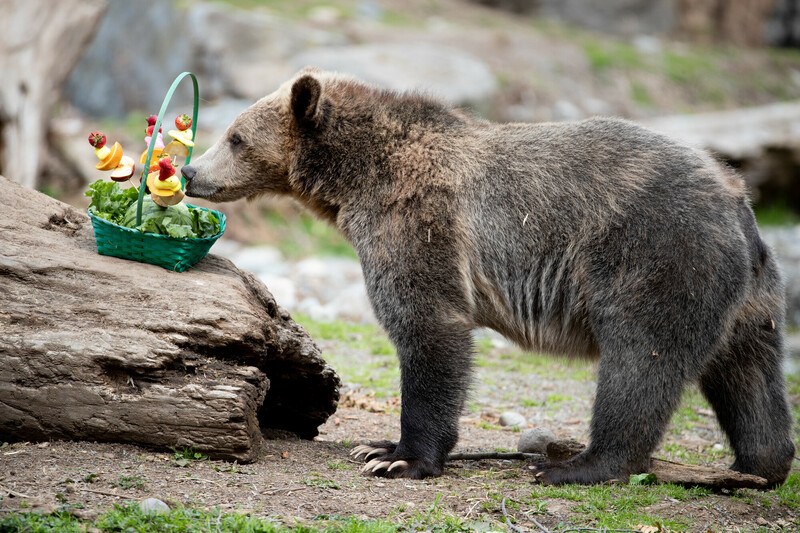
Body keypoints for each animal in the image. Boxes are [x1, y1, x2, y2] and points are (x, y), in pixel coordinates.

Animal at [184, 67, 796, 486]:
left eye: (235, 136)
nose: (190, 171)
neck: (356, 179)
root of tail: (738, 201)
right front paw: (375, 446)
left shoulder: (419, 222)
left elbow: (429, 326)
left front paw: (398, 457)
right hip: (751, 294)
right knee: (748, 373)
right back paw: (758, 464)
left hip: (656, 257)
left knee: (641, 361)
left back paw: (578, 465)